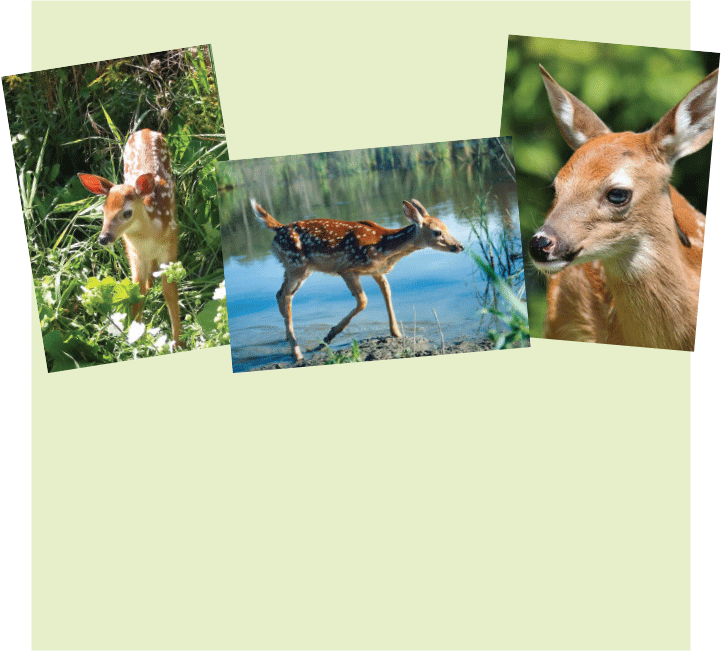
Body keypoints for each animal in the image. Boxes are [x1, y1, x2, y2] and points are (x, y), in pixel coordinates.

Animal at [77, 129, 182, 348]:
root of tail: (145, 130)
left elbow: (170, 291)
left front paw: (179, 342)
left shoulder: (170, 248)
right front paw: (136, 334)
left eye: (127, 213)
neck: (149, 237)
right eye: (103, 210)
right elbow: (137, 289)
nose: (104, 238)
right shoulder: (134, 253)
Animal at [251, 199, 464, 361]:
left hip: (299, 269)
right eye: (437, 232)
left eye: (446, 227)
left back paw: (289, 343)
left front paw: (396, 333)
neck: (386, 248)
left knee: (280, 294)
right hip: (297, 265)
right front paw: (329, 336)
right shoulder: (347, 268)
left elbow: (387, 291)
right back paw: (297, 352)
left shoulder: (377, 271)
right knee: (285, 296)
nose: (460, 246)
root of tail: (278, 228)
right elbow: (363, 300)